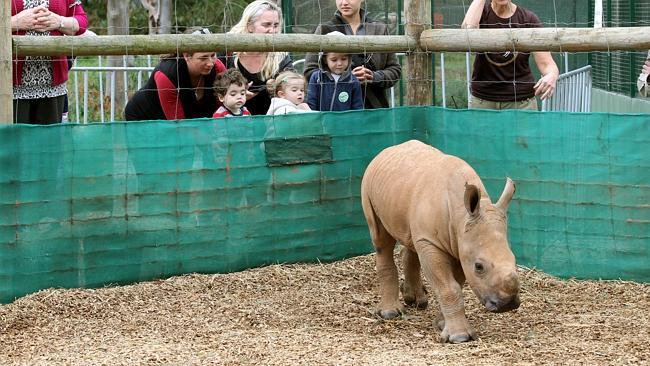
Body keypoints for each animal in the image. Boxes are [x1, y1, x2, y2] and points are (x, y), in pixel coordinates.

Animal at [356, 139, 520, 344]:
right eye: (479, 267)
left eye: (515, 259)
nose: (508, 304)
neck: (461, 216)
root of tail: (387, 150)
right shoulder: (434, 243)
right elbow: (449, 287)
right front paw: (459, 337)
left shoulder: (459, 244)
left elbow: (455, 284)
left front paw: (441, 325)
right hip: (368, 183)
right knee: (381, 240)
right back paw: (389, 313)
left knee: (411, 240)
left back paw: (417, 301)